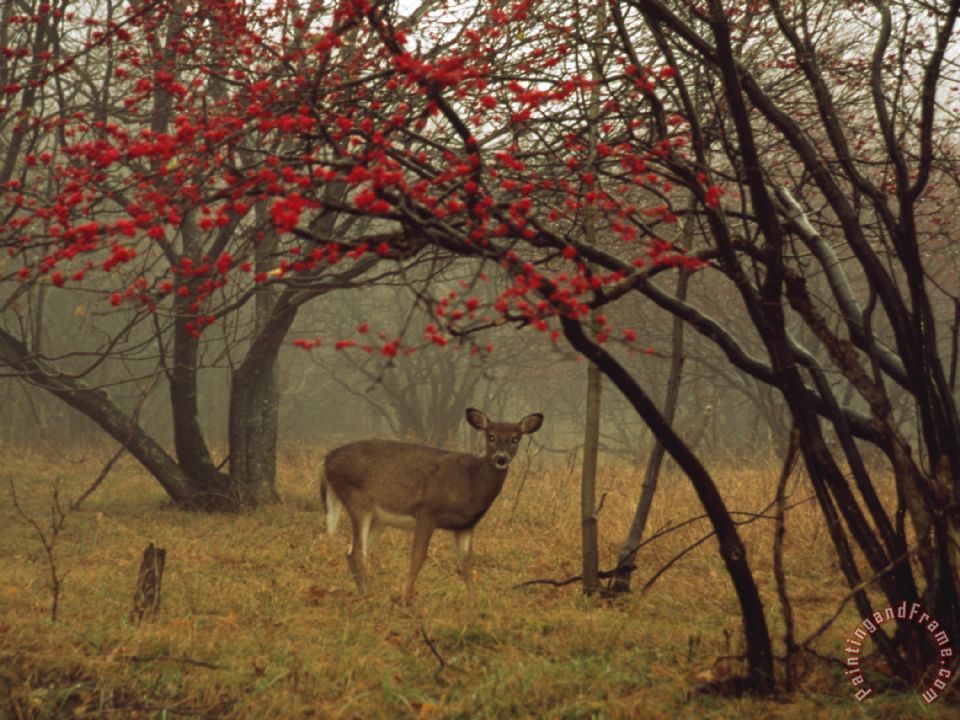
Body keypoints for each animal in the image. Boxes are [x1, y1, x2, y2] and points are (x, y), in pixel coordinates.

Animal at [321, 408, 543, 602]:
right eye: (491, 436)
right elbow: (418, 556)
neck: (471, 483)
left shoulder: (466, 525)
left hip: (378, 518)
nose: (501, 458)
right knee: (358, 551)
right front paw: (406, 598)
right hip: (357, 499)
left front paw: (473, 605)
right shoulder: (427, 511)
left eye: (515, 438)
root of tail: (327, 460)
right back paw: (369, 595)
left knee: (352, 551)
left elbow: (466, 563)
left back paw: (364, 593)